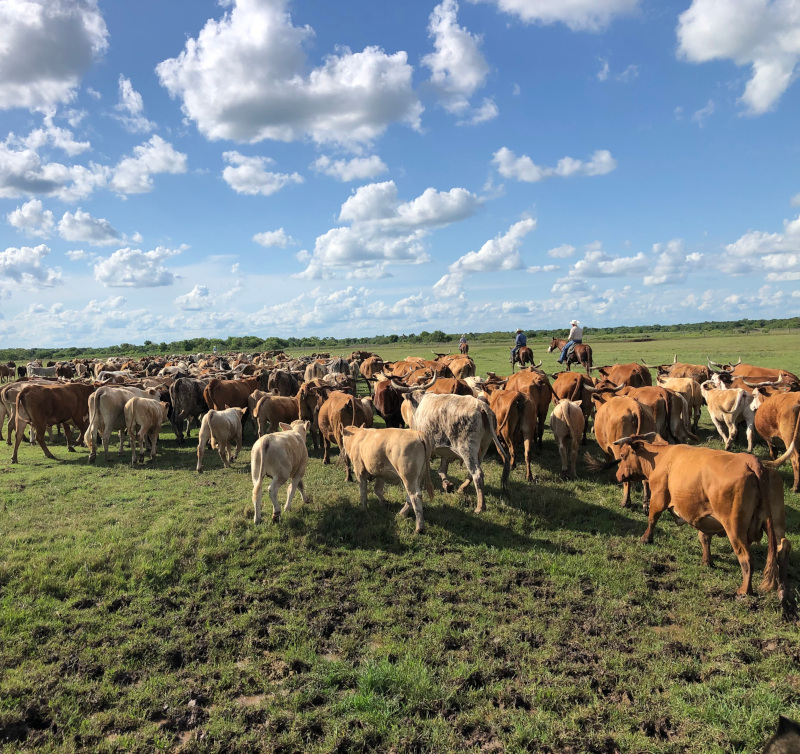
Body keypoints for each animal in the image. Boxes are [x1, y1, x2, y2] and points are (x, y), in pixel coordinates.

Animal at [612, 435, 790, 604]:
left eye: (622, 455)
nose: (617, 475)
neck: (662, 457)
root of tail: (751, 461)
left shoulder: (658, 497)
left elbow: (652, 519)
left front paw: (645, 539)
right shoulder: (703, 516)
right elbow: (704, 538)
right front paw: (707, 561)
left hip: (734, 527)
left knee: (746, 557)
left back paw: (745, 590)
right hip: (776, 522)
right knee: (782, 547)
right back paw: (781, 587)